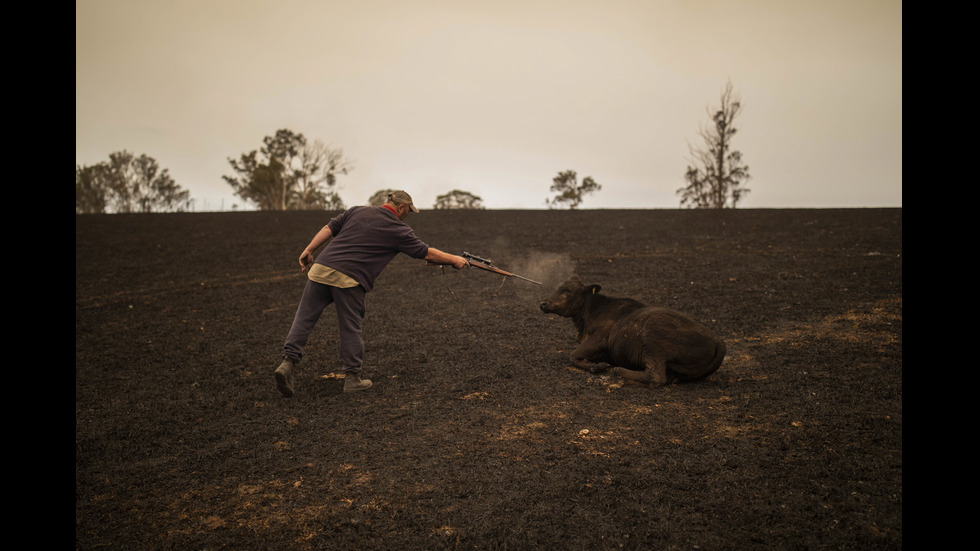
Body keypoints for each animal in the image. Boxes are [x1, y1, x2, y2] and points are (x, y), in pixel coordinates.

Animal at [540, 276, 724, 388]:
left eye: (568, 291)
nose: (543, 303)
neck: (590, 313)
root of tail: (718, 341)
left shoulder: (600, 339)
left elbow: (572, 356)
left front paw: (598, 366)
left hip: (653, 337)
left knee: (655, 376)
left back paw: (618, 370)